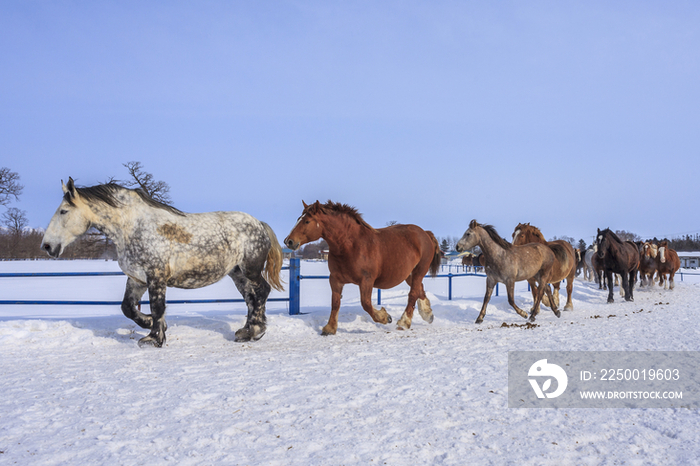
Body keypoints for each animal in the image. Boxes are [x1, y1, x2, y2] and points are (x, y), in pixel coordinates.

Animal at [284, 200, 438, 334]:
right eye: (299, 218)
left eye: (307, 221)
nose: (288, 241)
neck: (351, 245)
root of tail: (425, 233)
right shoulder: (335, 279)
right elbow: (335, 303)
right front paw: (329, 328)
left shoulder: (366, 281)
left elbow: (366, 304)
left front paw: (385, 317)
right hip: (409, 274)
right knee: (419, 289)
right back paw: (427, 314)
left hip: (419, 271)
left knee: (413, 293)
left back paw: (404, 322)